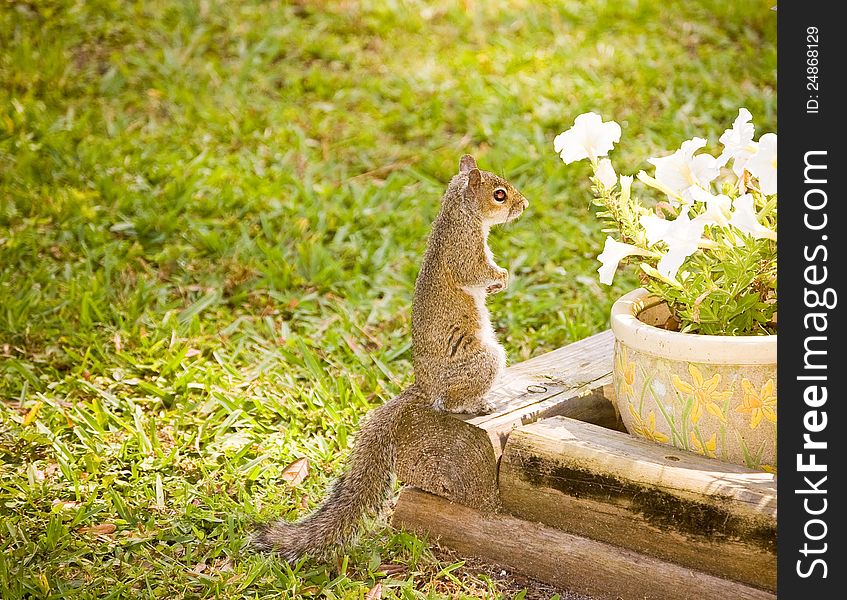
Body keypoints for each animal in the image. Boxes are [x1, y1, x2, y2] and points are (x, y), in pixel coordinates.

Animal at [253, 155, 528, 564]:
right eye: (499, 195)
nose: (523, 205)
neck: (459, 215)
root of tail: (423, 388)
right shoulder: (465, 252)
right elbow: (476, 272)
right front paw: (501, 278)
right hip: (483, 360)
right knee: (450, 403)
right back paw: (476, 404)